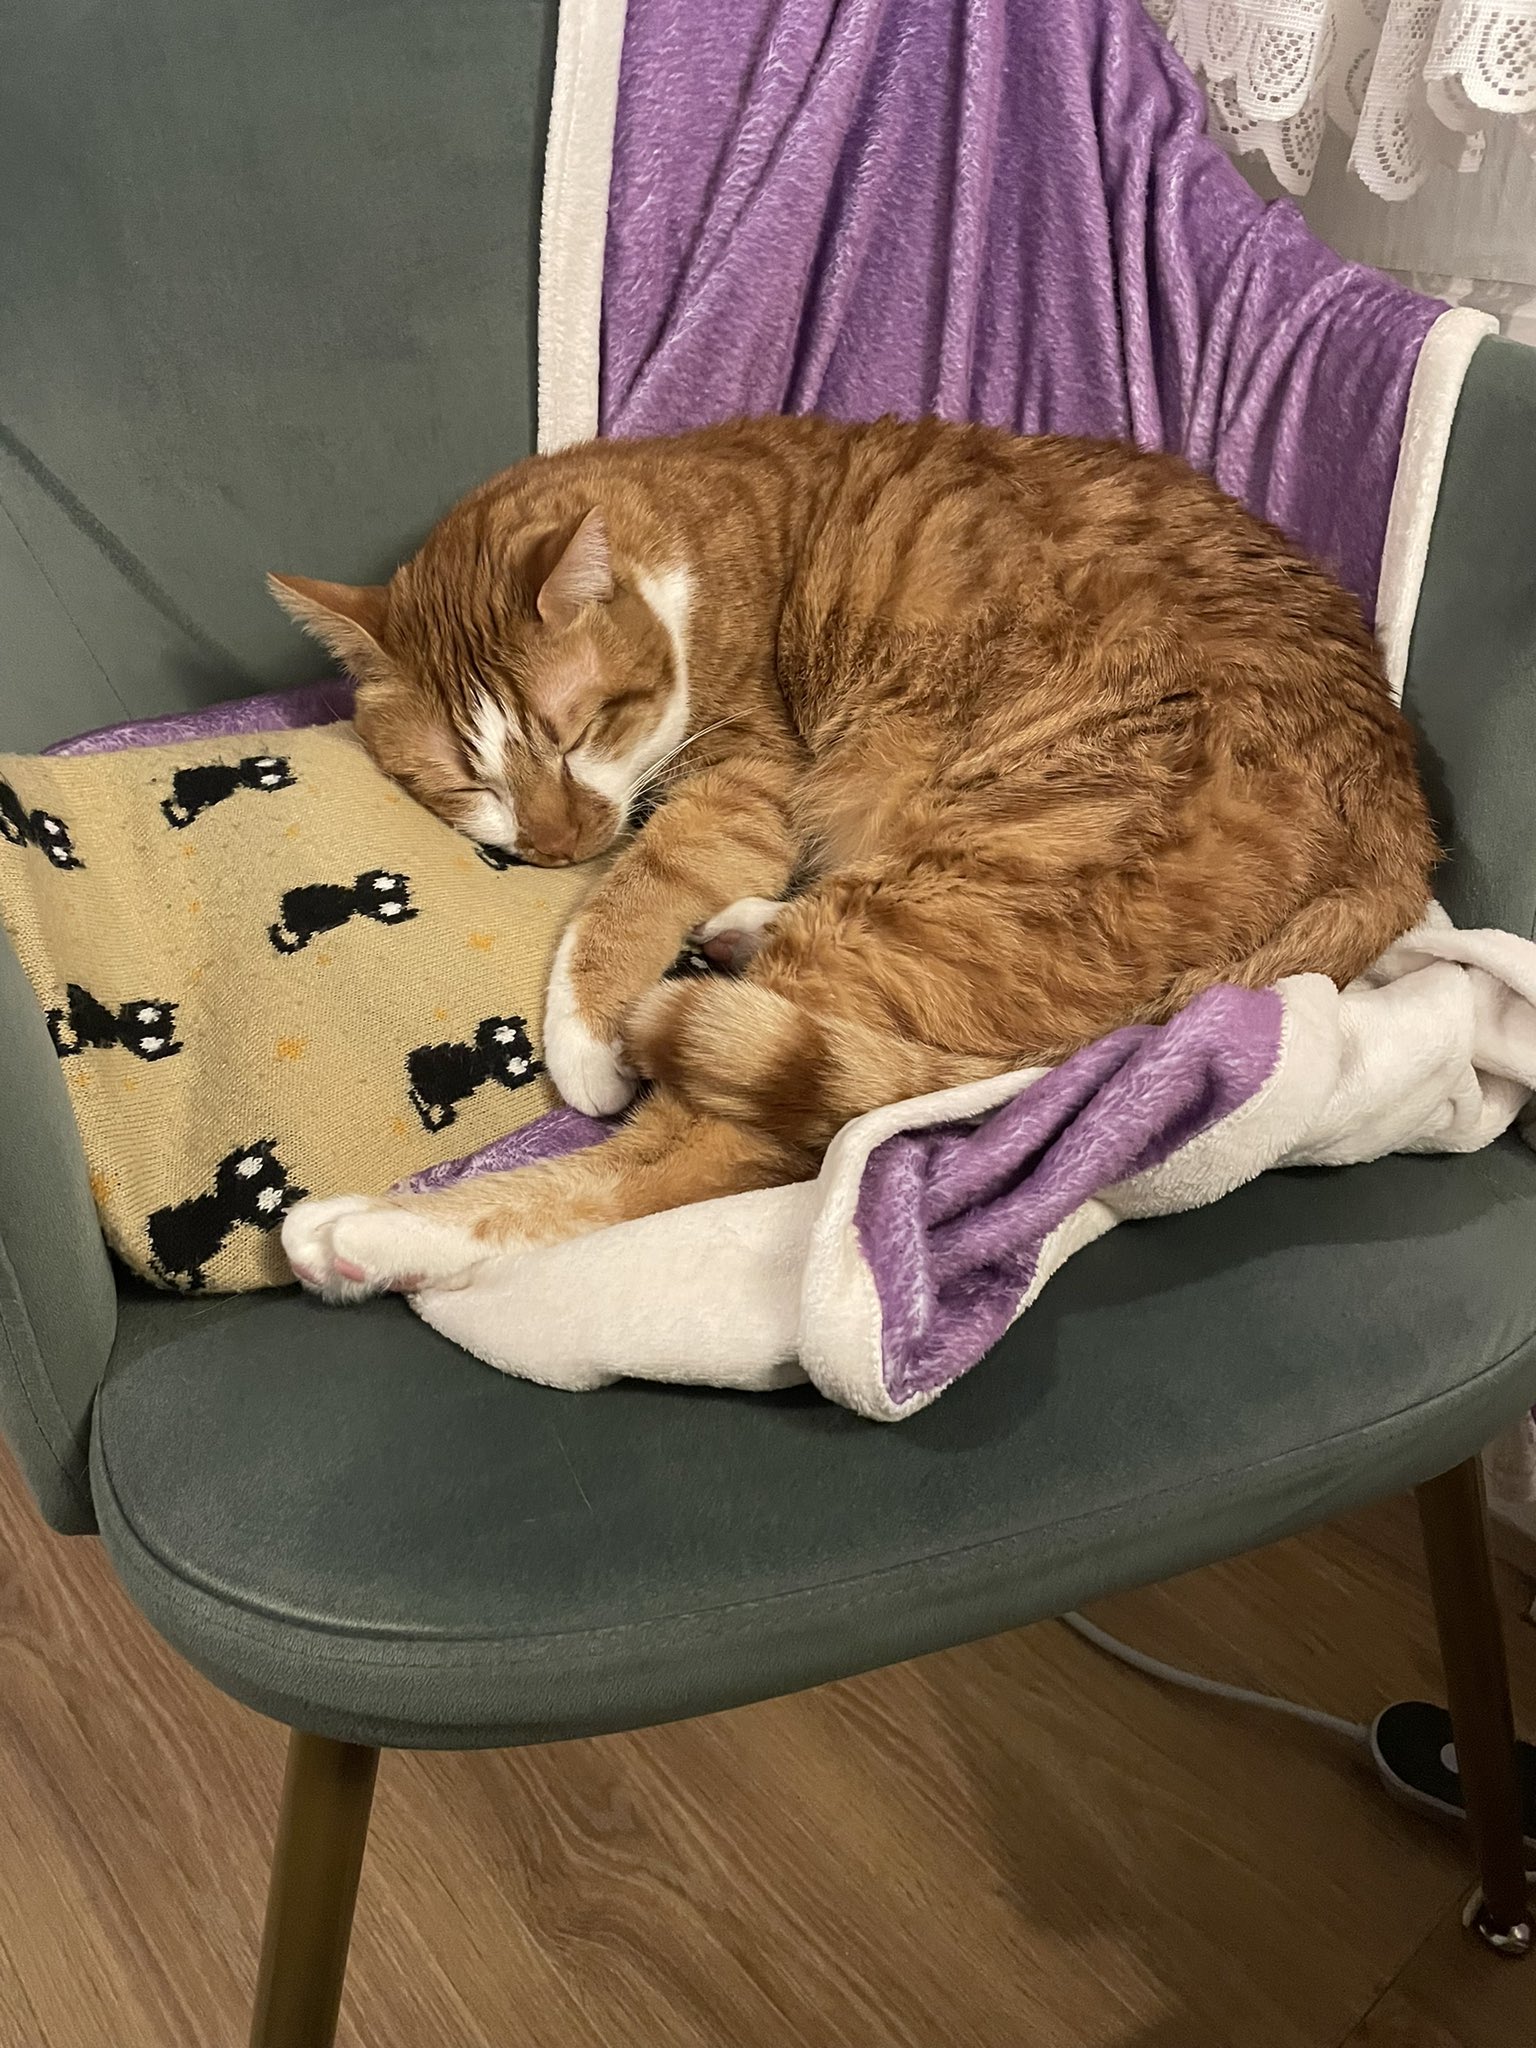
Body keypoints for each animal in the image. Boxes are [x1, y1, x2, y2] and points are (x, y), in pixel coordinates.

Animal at [268, 417, 1441, 1302]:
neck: (683, 544)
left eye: (576, 731)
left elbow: (639, 887)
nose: (560, 844)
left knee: (694, 1161)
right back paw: (742, 937)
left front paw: (584, 1028)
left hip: (965, 871)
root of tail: (1399, 818)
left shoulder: (749, 774)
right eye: (469, 782)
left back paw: (366, 1237)